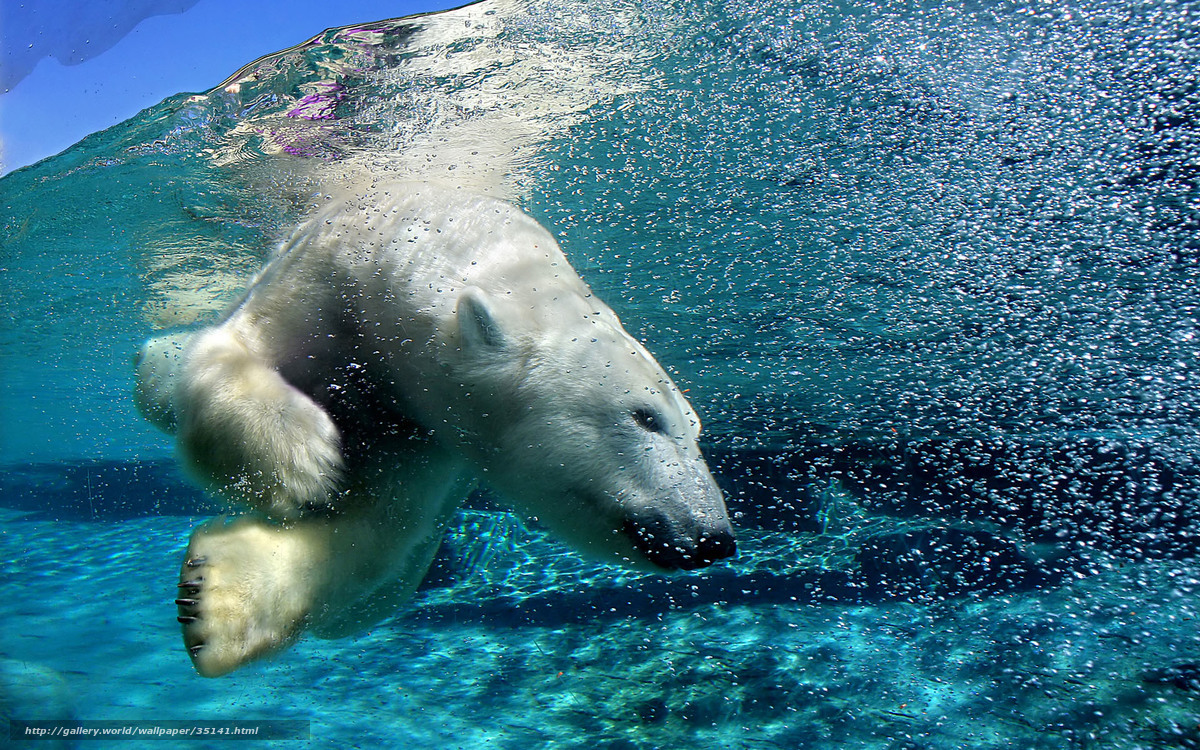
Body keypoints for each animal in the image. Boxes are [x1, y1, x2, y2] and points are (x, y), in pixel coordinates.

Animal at [134, 181, 735, 677]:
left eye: (696, 430)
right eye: (645, 416)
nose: (713, 538)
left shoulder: (431, 434)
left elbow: (379, 526)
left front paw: (213, 599)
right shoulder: (324, 279)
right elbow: (234, 350)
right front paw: (303, 461)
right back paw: (157, 360)